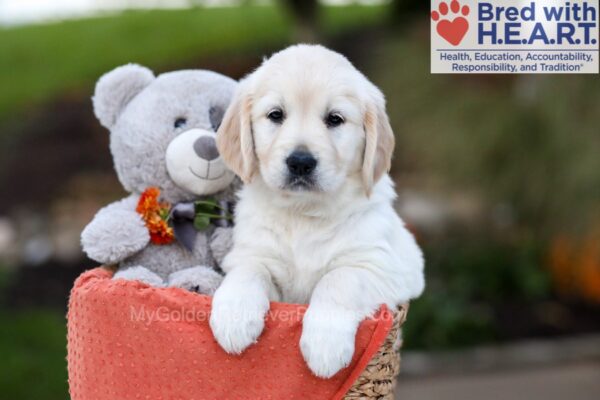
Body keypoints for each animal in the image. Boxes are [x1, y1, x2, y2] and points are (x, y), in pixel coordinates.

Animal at [209, 44, 424, 378]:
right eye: (276, 115)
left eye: (335, 119)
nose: (300, 162)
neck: (304, 213)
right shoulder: (252, 253)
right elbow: (248, 271)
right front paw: (234, 317)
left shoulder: (384, 267)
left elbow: (339, 279)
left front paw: (325, 345)